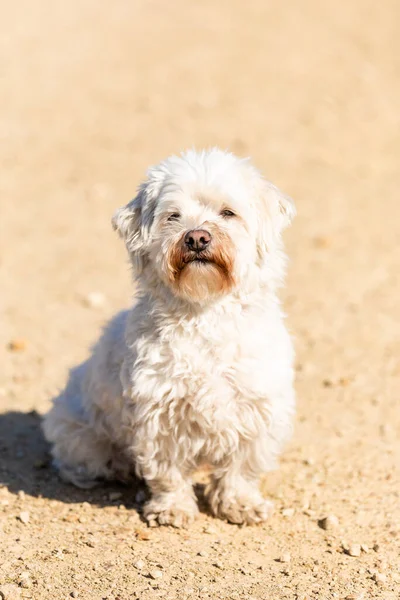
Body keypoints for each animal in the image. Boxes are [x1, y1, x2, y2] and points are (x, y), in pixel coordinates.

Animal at [42, 149, 296, 524]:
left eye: (228, 212)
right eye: (172, 216)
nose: (197, 237)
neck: (205, 313)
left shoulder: (255, 406)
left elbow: (240, 468)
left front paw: (240, 503)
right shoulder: (159, 412)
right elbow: (167, 470)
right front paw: (173, 508)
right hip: (77, 431)